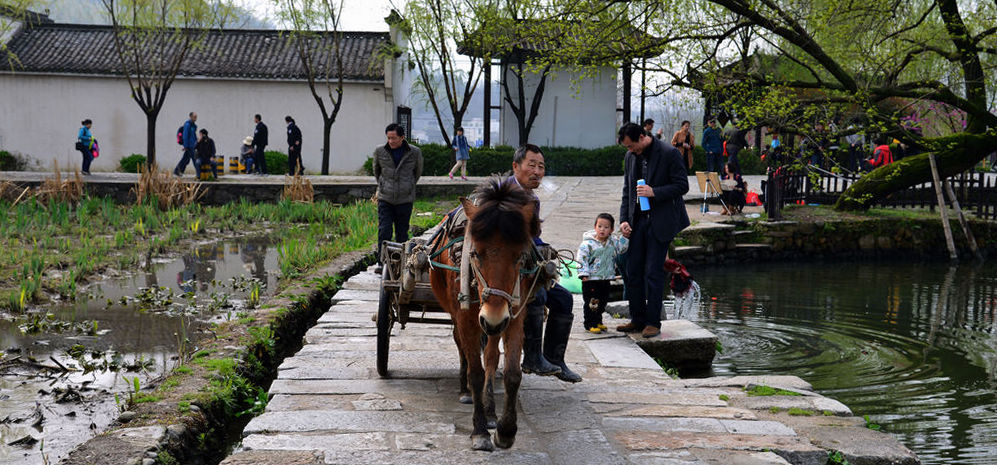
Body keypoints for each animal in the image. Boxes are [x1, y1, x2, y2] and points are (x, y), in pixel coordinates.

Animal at [426, 178, 536, 450]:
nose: (493, 318)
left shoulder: (513, 314)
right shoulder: (467, 318)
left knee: (491, 356)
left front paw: (505, 430)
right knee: (462, 346)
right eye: (475, 253)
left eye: (520, 257)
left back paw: (491, 413)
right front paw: (479, 431)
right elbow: (475, 371)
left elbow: (511, 372)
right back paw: (465, 391)